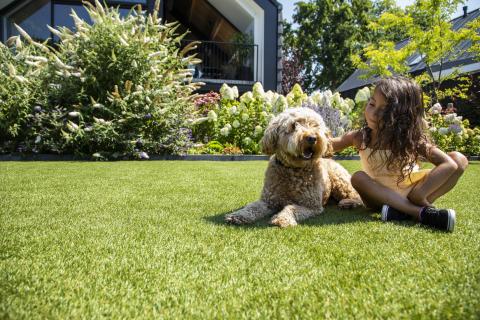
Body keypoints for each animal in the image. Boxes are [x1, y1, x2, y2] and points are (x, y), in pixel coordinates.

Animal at [225, 107, 360, 228]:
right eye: (294, 125)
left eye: (315, 125)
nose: (312, 138)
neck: (293, 168)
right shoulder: (268, 201)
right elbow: (252, 207)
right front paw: (238, 215)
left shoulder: (310, 206)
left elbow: (291, 208)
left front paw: (282, 219)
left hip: (340, 181)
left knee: (356, 195)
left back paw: (348, 203)